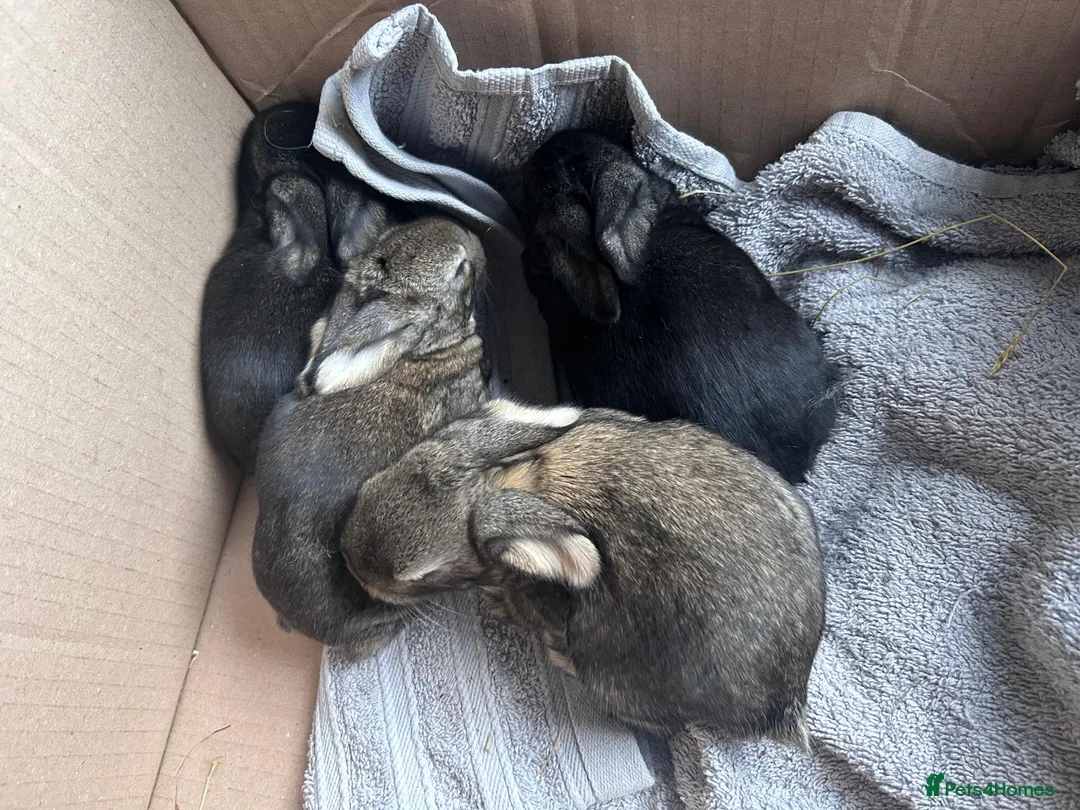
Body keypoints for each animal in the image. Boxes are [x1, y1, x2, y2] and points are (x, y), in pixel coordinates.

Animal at [341, 399, 826, 741]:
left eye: (422, 575)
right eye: (388, 472)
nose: (350, 561)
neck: (516, 479)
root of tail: (784, 703)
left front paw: (496, 603)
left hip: (609, 673)